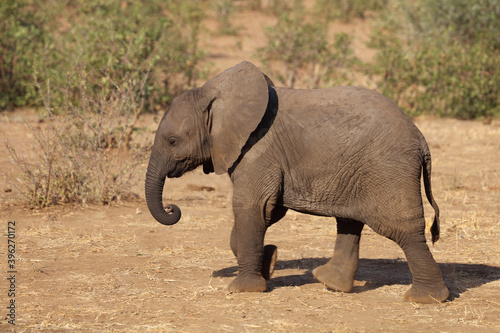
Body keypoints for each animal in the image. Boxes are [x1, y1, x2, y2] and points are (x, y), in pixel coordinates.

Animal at [145, 61, 450, 302]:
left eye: (173, 141)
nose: (172, 208)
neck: (215, 95)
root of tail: (420, 137)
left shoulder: (258, 149)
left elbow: (253, 207)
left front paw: (244, 289)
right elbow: (268, 211)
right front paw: (270, 261)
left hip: (387, 169)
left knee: (403, 229)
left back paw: (425, 299)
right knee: (350, 221)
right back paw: (330, 282)